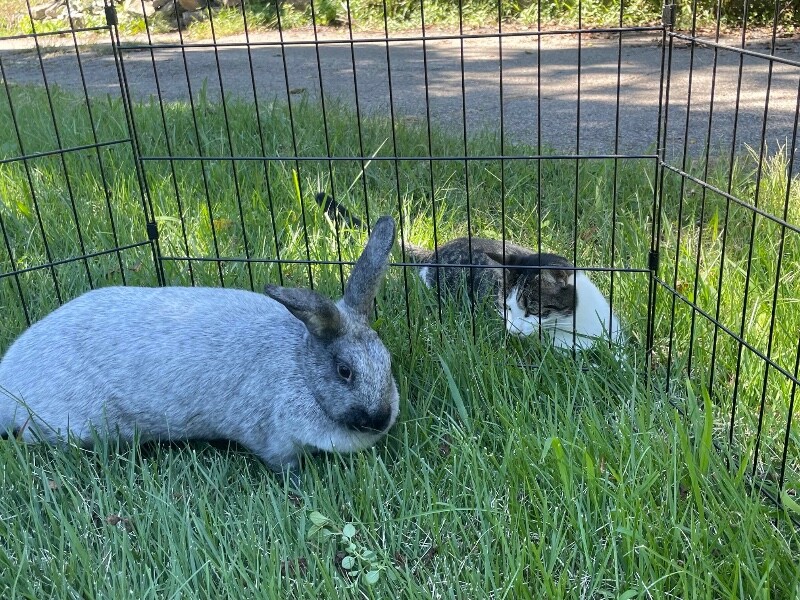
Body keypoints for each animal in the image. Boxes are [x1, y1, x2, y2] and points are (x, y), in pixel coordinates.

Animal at [0, 216, 400, 474]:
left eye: (388, 361)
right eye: (344, 371)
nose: (381, 419)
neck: (300, 365)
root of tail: (8, 380)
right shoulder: (273, 436)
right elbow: (282, 462)